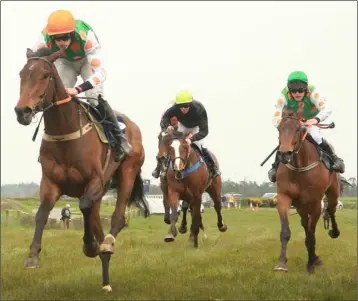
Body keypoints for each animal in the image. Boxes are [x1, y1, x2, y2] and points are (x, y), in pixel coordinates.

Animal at [14, 48, 149, 292]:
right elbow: (41, 213)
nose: (22, 111)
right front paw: (32, 256)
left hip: (128, 171)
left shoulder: (94, 181)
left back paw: (106, 243)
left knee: (117, 219)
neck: (65, 134)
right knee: (99, 224)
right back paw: (105, 279)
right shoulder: (51, 183)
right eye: (22, 74)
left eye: (45, 75)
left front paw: (89, 246)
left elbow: (84, 205)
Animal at [274, 107, 344, 272]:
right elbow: (286, 231)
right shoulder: (283, 197)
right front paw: (281, 263)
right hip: (301, 205)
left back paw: (334, 232)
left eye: (299, 129)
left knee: (331, 210)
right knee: (305, 223)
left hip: (333, 192)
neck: (299, 167)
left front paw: (311, 263)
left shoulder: (316, 202)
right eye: (279, 128)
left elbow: (312, 234)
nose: (284, 154)